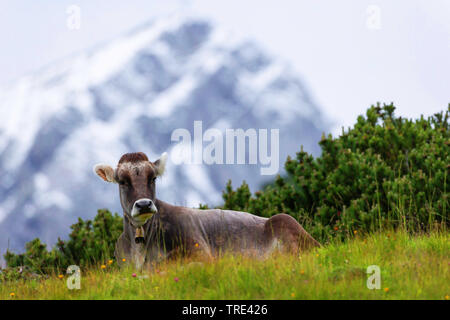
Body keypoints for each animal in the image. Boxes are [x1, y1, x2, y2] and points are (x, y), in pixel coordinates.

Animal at [94, 151, 320, 268]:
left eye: (153, 178)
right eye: (122, 181)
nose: (143, 204)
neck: (139, 246)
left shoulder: (199, 250)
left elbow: (164, 264)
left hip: (285, 222)